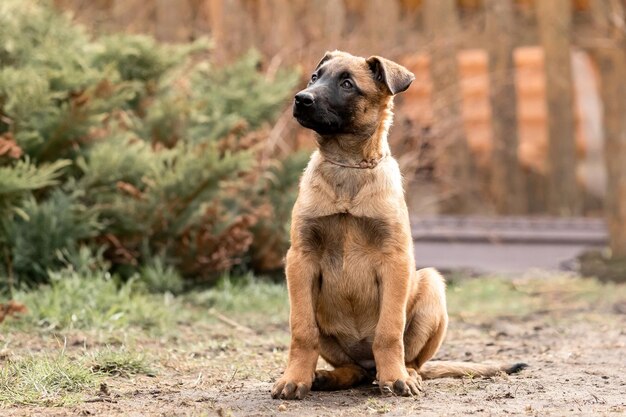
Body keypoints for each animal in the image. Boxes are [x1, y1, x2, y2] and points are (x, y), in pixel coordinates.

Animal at [270, 52, 524, 400]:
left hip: (430, 285)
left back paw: (404, 374)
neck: (350, 166)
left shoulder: (395, 261)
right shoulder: (300, 259)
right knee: (351, 369)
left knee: (411, 359)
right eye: (314, 77)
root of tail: (368, 367)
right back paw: (328, 376)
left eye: (347, 84)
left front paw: (396, 378)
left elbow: (389, 331)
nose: (301, 99)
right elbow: (302, 330)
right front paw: (295, 378)